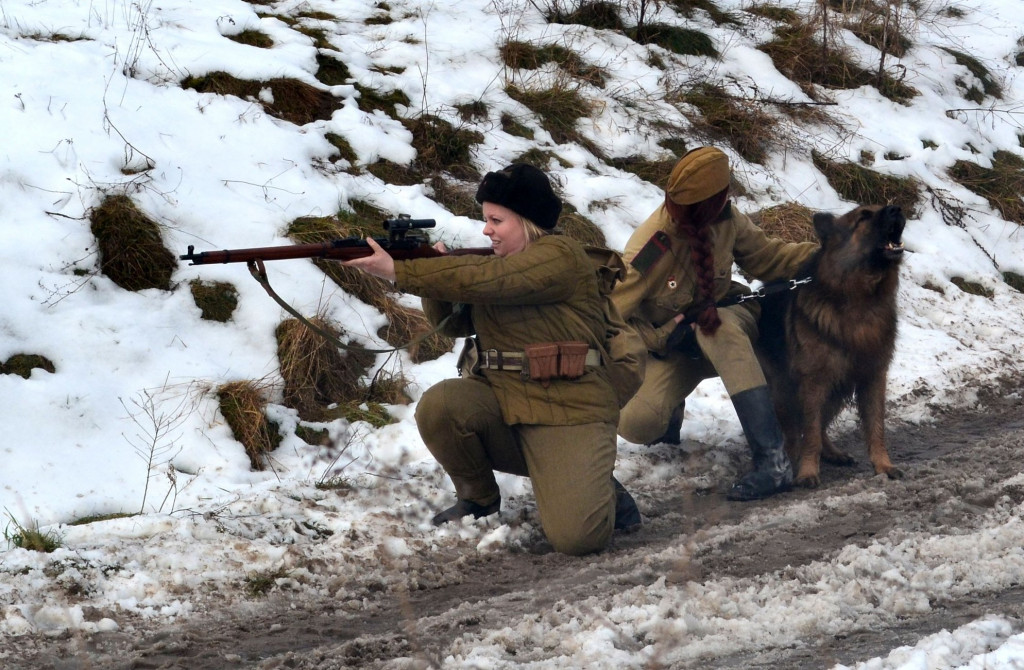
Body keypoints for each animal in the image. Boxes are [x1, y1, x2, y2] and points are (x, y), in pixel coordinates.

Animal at [753, 204, 905, 487]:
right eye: (863, 217)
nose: (896, 208)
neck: (861, 301)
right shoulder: (814, 382)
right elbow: (810, 433)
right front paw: (807, 471)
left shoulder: (873, 377)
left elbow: (876, 427)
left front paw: (883, 465)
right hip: (784, 390)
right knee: (795, 432)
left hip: (836, 389)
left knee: (819, 425)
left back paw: (832, 452)